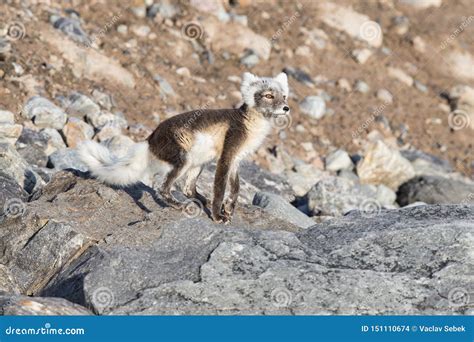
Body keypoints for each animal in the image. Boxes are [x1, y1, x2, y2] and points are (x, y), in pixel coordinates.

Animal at [78, 72, 288, 222]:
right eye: (269, 95)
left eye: (284, 96)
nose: (286, 108)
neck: (251, 125)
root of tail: (150, 139)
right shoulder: (226, 156)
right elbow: (220, 189)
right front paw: (218, 216)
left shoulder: (236, 159)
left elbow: (235, 189)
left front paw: (228, 209)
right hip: (183, 159)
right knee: (162, 189)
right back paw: (179, 205)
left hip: (198, 162)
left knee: (188, 189)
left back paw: (201, 200)